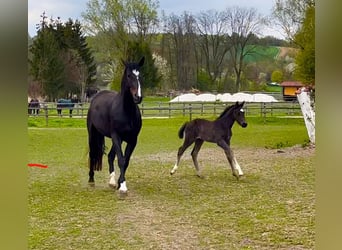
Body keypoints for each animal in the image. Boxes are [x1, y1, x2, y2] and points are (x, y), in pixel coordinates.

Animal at [87, 56, 144, 193]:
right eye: (129, 75)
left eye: (140, 75)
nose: (138, 97)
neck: (126, 111)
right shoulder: (116, 136)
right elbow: (122, 160)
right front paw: (122, 186)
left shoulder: (132, 140)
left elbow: (126, 160)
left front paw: (119, 183)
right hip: (93, 134)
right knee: (92, 153)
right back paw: (91, 180)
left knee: (110, 156)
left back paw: (112, 182)